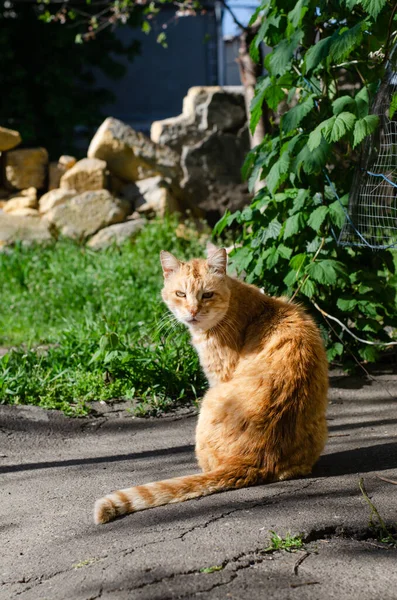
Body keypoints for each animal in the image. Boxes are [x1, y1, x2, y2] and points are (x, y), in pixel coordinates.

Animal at [93, 246, 328, 524]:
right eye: (181, 294)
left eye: (207, 295)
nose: (193, 312)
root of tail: (256, 460)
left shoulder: (219, 375)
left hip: (208, 401)